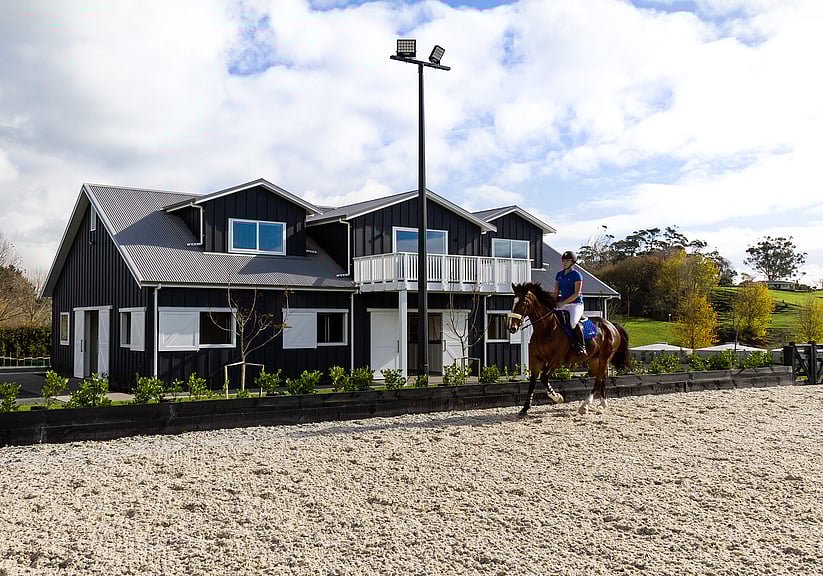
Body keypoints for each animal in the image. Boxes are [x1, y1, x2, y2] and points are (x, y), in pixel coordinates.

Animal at [508, 282, 629, 416]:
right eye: (513, 302)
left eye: (523, 302)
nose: (512, 328)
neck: (547, 329)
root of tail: (611, 326)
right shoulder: (536, 360)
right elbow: (533, 382)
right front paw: (524, 408)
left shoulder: (556, 360)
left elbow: (544, 377)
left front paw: (557, 397)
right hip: (594, 358)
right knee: (602, 376)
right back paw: (603, 404)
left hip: (605, 357)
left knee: (598, 378)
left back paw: (585, 406)